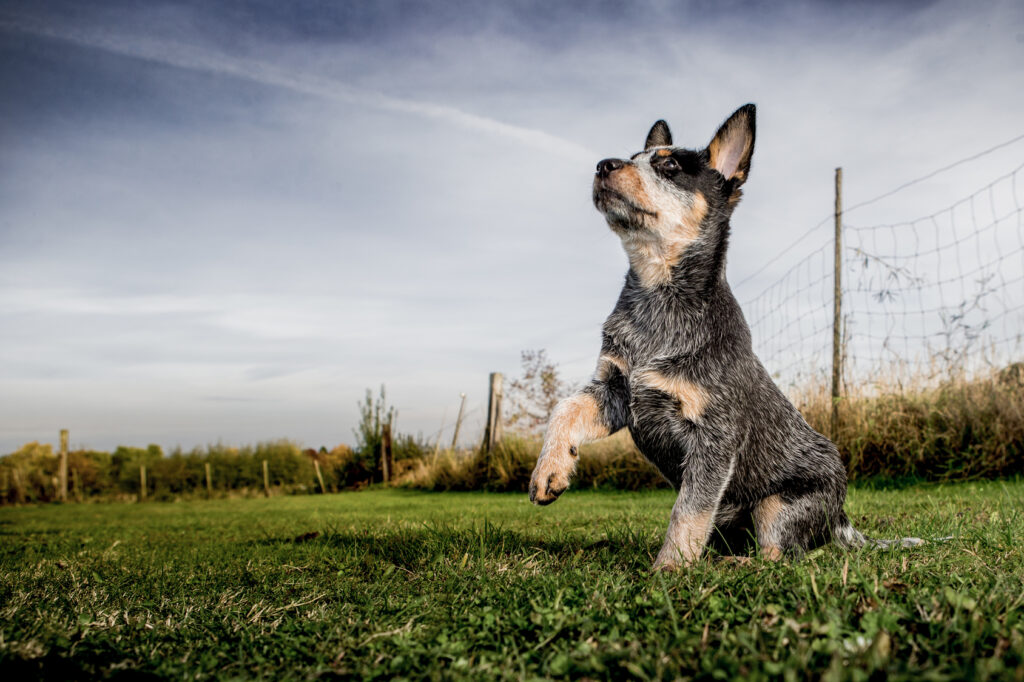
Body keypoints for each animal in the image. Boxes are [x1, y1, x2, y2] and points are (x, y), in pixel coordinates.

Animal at [528, 102, 921, 569]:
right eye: (635, 157)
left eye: (669, 166)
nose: (603, 165)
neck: (658, 302)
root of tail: (841, 517)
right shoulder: (616, 391)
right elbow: (564, 409)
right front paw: (549, 470)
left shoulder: (714, 435)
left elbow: (690, 510)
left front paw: (669, 569)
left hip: (780, 504)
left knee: (778, 554)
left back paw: (736, 563)